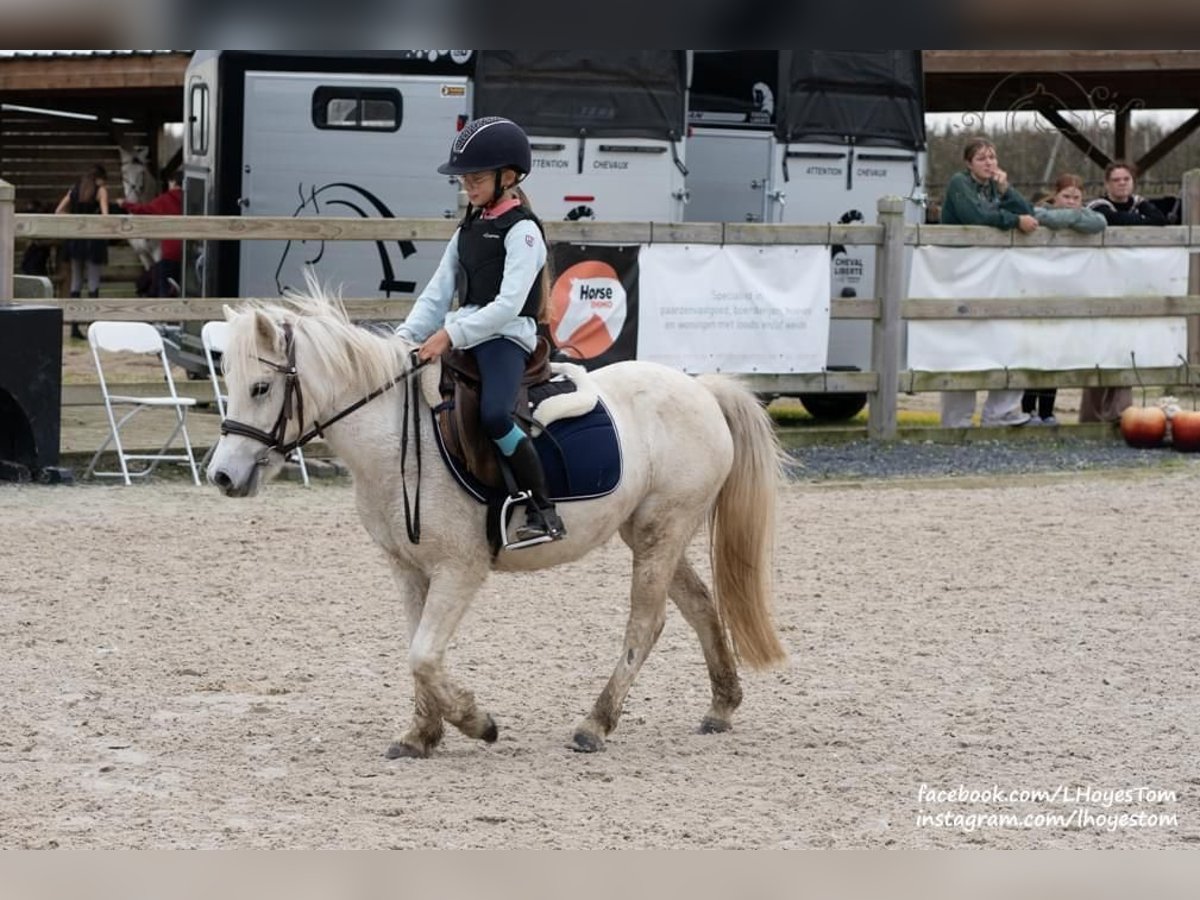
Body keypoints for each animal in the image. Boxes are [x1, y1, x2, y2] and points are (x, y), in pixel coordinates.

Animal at [206, 283, 787, 763]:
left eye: (261, 388)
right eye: (229, 381)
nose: (221, 475)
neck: (396, 440)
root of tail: (701, 390)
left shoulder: (459, 569)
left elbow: (423, 654)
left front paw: (477, 723)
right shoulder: (408, 568)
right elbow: (418, 651)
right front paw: (421, 735)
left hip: (660, 532)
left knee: (647, 623)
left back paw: (595, 724)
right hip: (653, 532)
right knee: (699, 605)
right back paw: (721, 706)